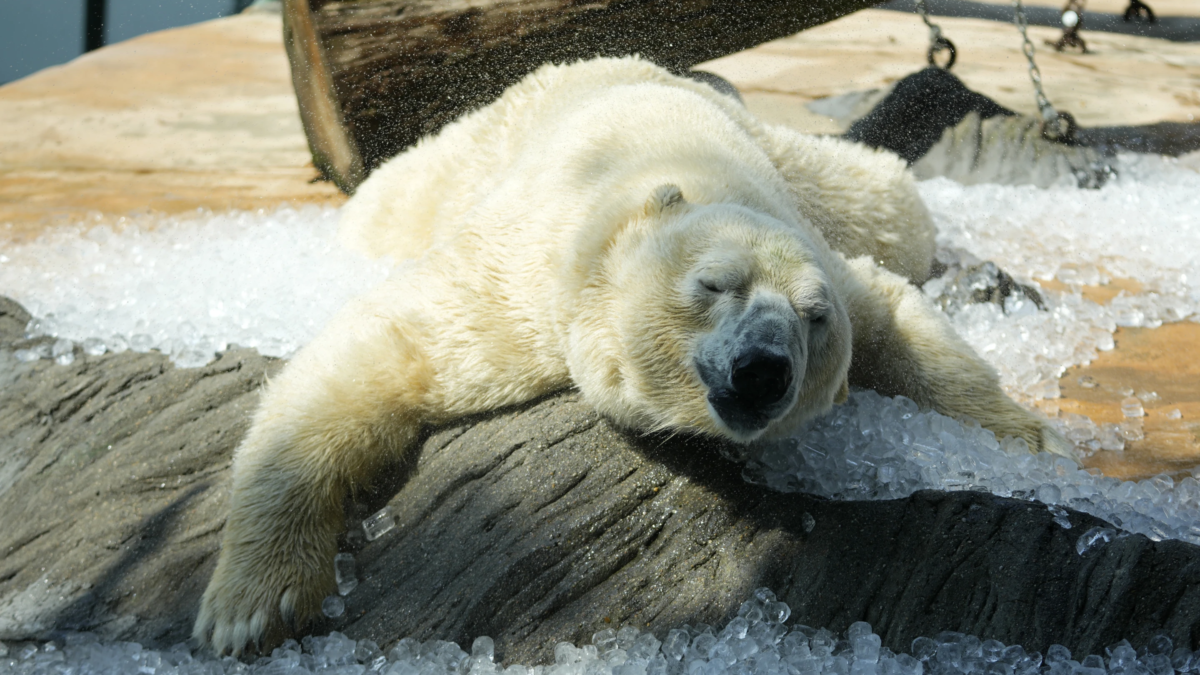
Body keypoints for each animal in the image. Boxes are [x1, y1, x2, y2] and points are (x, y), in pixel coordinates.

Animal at [194, 56, 1070, 653]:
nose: (764, 366)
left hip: (817, 178)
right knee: (384, 200)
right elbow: (386, 347)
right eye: (713, 283)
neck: (660, 184)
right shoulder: (532, 286)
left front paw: (1029, 441)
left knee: (891, 202)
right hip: (458, 164)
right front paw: (253, 603)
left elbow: (893, 313)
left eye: (813, 319)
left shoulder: (817, 250)